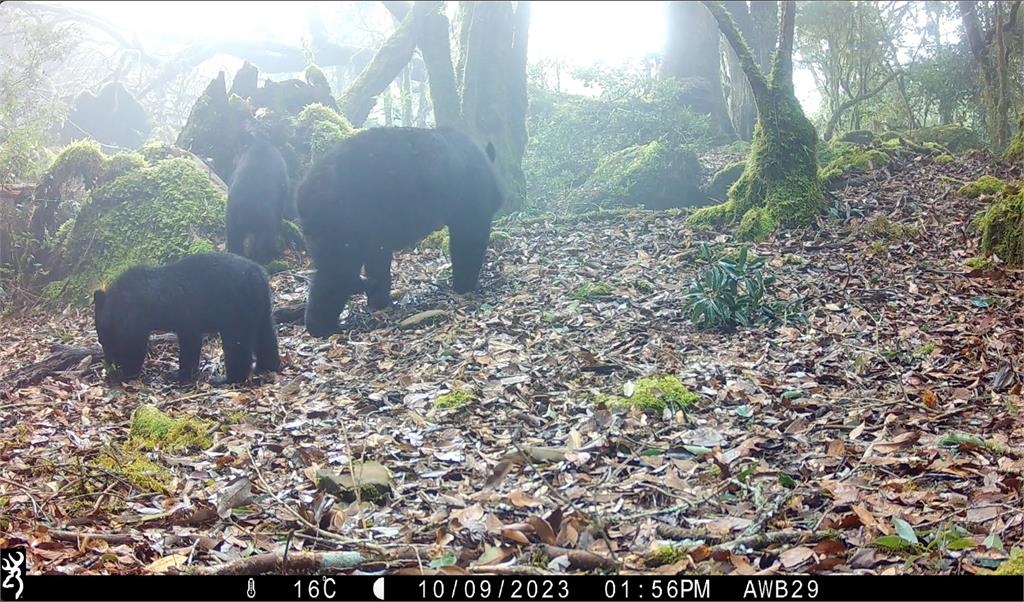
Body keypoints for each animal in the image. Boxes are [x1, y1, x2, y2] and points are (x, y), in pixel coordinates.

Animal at [93, 251, 280, 382]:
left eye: (103, 338)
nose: (108, 363)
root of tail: (258, 273)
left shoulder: (135, 315)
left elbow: (134, 344)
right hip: (260, 307)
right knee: (266, 334)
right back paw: (267, 366)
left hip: (236, 308)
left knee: (237, 342)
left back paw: (228, 378)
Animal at [296, 125, 503, 337]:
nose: (499, 200)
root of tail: (302, 194)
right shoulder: (468, 195)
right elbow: (469, 238)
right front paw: (466, 285)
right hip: (343, 220)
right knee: (336, 272)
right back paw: (323, 326)